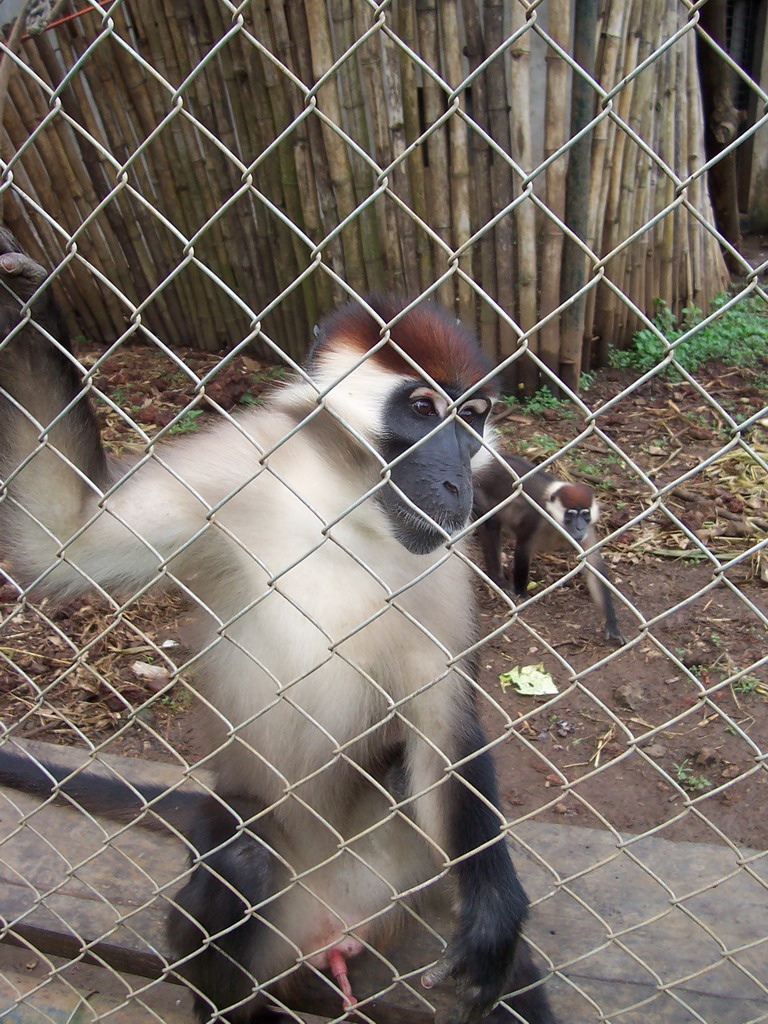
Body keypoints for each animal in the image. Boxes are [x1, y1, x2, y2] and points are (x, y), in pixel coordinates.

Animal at [0, 232, 557, 1024]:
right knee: (242, 861)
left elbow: (442, 722)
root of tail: (333, 929)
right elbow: (63, 538)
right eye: (423, 408)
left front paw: (495, 910)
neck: (348, 505)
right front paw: (25, 299)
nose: (455, 480)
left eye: (471, 417)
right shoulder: (239, 465)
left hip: (405, 876)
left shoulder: (444, 561)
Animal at [475, 454, 626, 643]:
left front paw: (611, 625)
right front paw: (521, 594)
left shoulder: (589, 531)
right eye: (570, 515)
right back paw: (498, 578)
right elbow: (523, 551)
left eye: (585, 515)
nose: (579, 528)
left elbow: (594, 567)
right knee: (492, 524)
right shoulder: (535, 518)